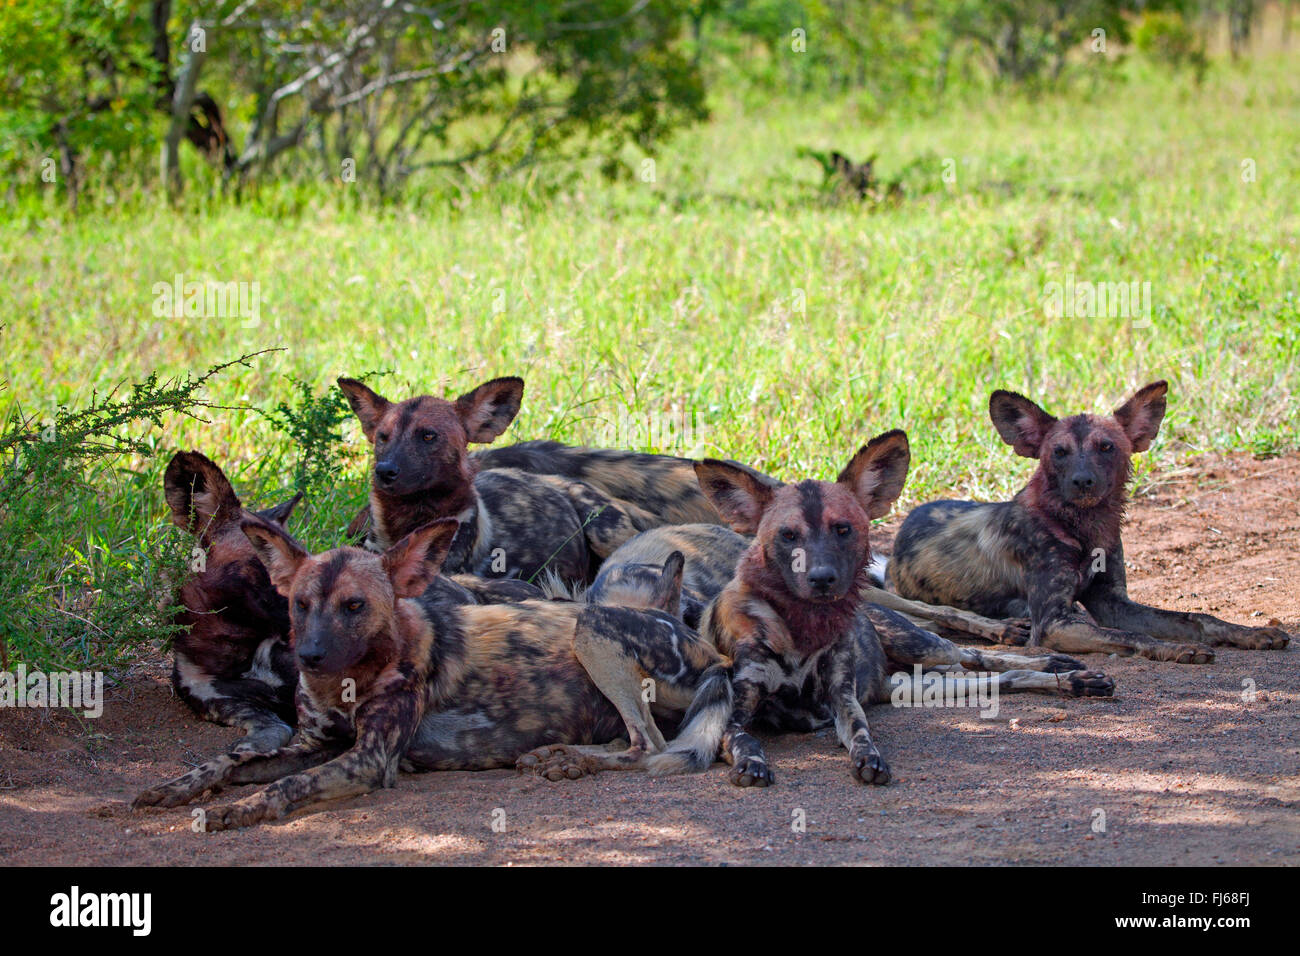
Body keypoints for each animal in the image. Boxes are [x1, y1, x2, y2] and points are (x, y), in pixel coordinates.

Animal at [131, 515, 733, 832]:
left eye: (354, 606)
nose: (310, 656)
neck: (347, 679)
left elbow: (285, 785)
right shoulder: (314, 744)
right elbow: (229, 762)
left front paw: (237, 810)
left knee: (649, 744)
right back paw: (559, 757)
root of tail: (711, 651)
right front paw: (174, 789)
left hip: (591, 628)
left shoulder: (368, 760)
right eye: (299, 605)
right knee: (631, 741)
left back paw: (570, 761)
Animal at [522, 437, 1112, 790]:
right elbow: (744, 739)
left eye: (843, 529)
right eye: (788, 536)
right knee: (996, 676)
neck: (799, 630)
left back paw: (1064, 670)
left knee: (980, 655)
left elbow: (863, 736)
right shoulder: (737, 710)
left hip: (920, 646)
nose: (824, 578)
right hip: (918, 683)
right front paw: (753, 763)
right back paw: (1066, 677)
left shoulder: (843, 701)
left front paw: (867, 759)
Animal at [889, 382, 1294, 665]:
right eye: (1059, 452)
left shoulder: (1114, 603)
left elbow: (1198, 618)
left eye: (1106, 447)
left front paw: (1251, 634)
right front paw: (1175, 648)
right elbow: (1131, 638)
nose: (1082, 481)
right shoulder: (1054, 623)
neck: (1082, 529)